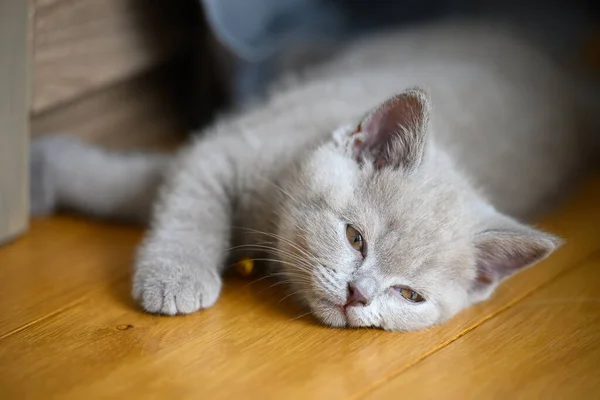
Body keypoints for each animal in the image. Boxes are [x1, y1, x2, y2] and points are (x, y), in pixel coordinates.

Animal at [31, 19, 596, 332]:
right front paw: (175, 276)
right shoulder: (222, 150)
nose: (359, 295)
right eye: (355, 237)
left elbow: (148, 187)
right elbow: (173, 204)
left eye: (410, 296)